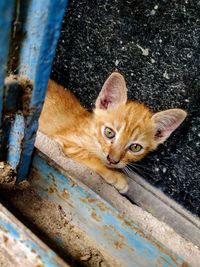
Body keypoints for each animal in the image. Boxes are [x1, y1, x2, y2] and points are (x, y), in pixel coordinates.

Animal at [39, 73, 188, 194]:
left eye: (135, 147)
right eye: (109, 133)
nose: (113, 160)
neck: (92, 132)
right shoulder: (65, 141)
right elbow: (90, 156)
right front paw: (116, 176)